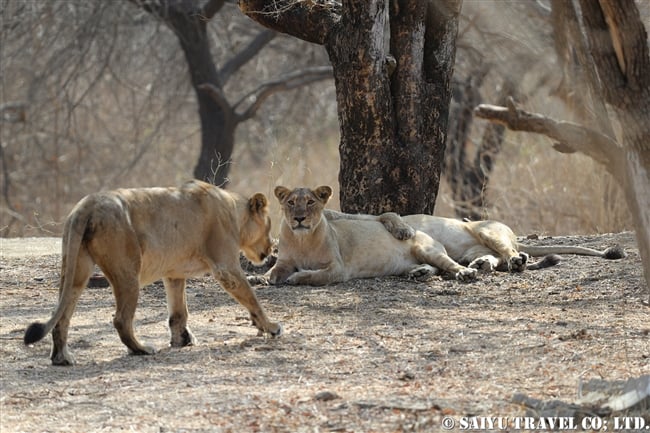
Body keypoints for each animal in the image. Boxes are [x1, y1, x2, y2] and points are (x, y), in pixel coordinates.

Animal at [24, 179, 282, 364]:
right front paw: (271, 327)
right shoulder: (225, 267)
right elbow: (252, 298)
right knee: (121, 319)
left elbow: (179, 312)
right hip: (128, 271)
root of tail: (87, 206)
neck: (233, 209)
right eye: (269, 225)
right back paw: (142, 349)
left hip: (77, 270)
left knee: (62, 315)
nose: (272, 248)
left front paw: (182, 339)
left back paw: (62, 358)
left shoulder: (174, 273)